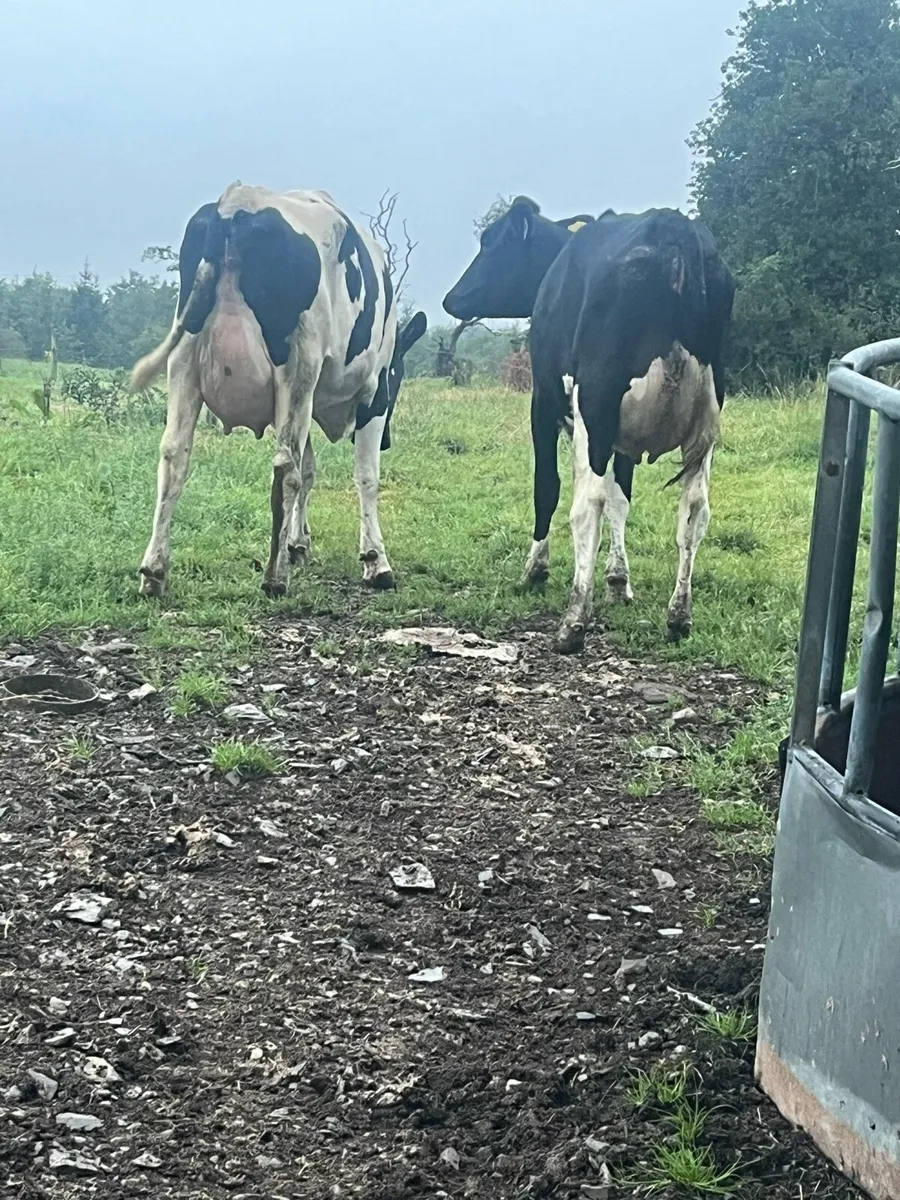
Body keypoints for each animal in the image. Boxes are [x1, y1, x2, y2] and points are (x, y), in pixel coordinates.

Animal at [130, 182, 427, 598]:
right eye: (399, 375)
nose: (388, 441)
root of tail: (237, 203)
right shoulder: (373, 393)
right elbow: (364, 476)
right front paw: (375, 561)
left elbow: (310, 469)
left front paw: (297, 543)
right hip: (299, 365)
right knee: (284, 465)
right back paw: (274, 576)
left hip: (184, 363)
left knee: (174, 456)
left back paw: (154, 572)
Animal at [443, 196, 735, 653]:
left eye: (492, 242)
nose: (451, 299)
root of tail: (672, 227)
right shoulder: (625, 439)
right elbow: (622, 500)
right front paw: (619, 580)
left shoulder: (544, 404)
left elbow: (548, 488)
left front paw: (535, 569)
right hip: (705, 419)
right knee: (694, 508)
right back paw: (679, 616)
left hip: (595, 402)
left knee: (587, 504)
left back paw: (574, 620)